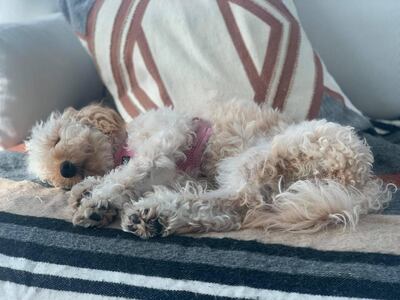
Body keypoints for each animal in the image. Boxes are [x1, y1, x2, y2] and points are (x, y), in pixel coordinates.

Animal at [26, 99, 392, 238]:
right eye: (53, 177)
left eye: (56, 139)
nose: (66, 169)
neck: (125, 144)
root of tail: (362, 183)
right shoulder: (174, 173)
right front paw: (84, 191)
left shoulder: (166, 141)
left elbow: (127, 175)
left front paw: (97, 200)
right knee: (227, 211)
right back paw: (155, 217)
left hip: (266, 152)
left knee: (240, 200)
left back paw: (151, 213)